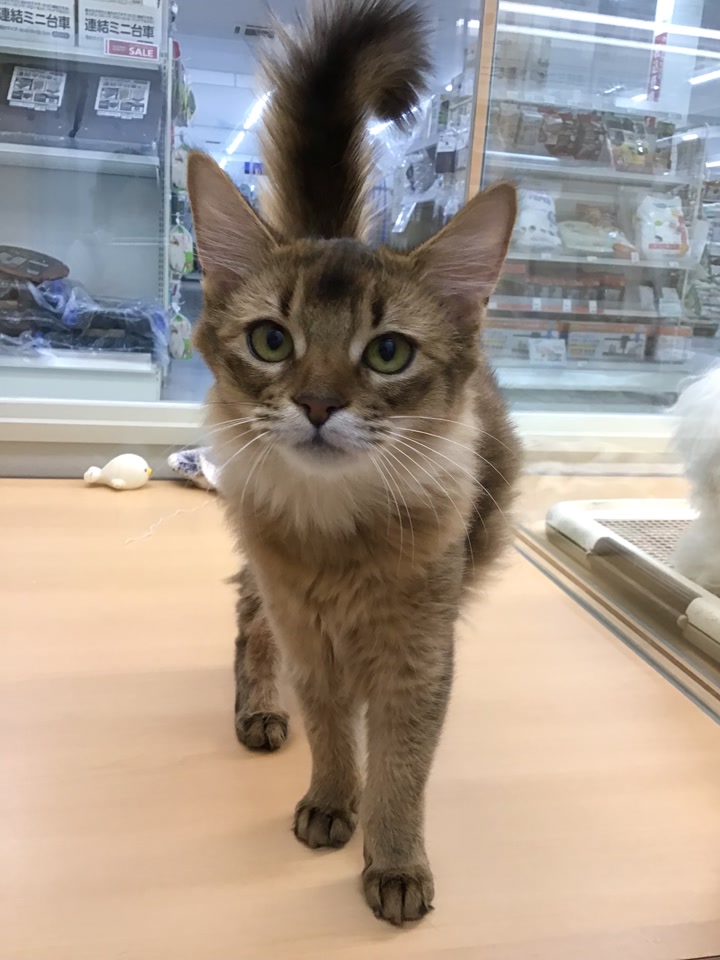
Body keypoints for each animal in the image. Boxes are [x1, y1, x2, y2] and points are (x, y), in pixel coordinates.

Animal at [186, 0, 520, 926]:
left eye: (388, 353)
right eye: (272, 341)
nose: (318, 404)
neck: (338, 537)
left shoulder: (420, 654)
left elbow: (405, 764)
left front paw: (396, 860)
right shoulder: (310, 639)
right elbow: (333, 732)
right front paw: (333, 802)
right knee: (245, 613)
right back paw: (259, 709)